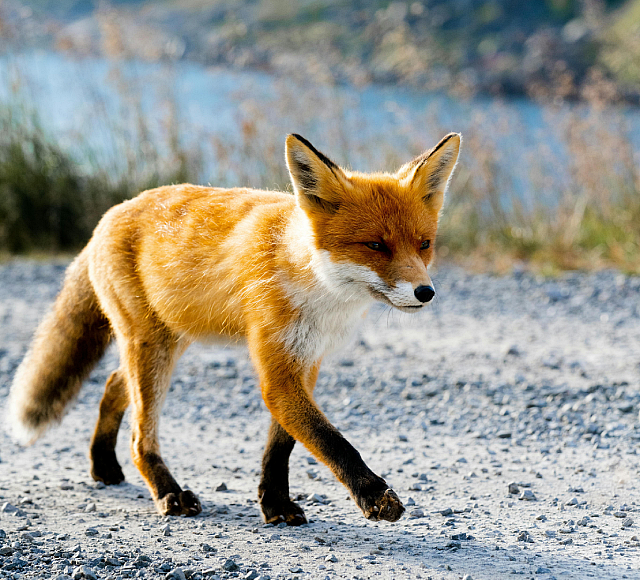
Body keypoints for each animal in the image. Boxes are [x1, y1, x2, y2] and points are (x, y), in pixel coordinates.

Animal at [6, 132, 460, 525]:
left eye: (424, 244)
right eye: (375, 246)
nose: (426, 292)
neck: (315, 285)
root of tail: (111, 213)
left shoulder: (306, 360)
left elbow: (283, 445)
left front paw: (275, 504)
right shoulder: (278, 367)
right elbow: (331, 440)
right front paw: (374, 495)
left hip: (168, 341)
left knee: (114, 385)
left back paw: (103, 465)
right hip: (152, 348)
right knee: (139, 433)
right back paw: (168, 491)